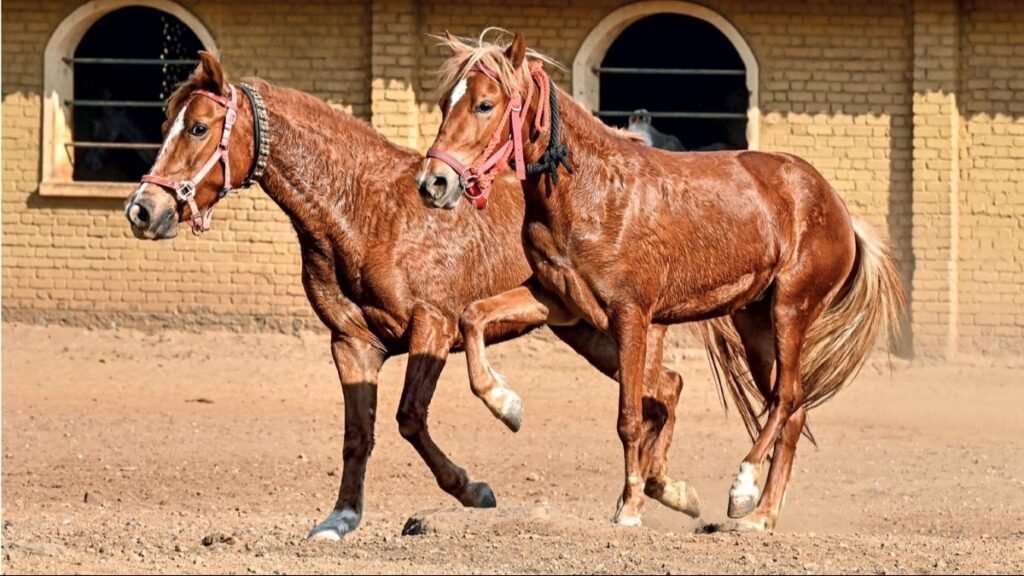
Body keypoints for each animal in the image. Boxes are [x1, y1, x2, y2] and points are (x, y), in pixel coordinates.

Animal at [123, 52, 729, 537]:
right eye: (169, 123)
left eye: (199, 127)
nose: (142, 211)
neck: (367, 211)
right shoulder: (351, 343)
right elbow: (358, 433)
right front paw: (340, 518)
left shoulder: (432, 327)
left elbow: (409, 417)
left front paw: (474, 487)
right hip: (586, 331)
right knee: (666, 389)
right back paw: (674, 492)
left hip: (623, 327)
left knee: (655, 395)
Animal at [417, 31, 905, 528]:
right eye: (445, 102)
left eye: (485, 104)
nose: (434, 183)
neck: (595, 191)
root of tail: (837, 206)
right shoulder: (558, 302)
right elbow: (473, 317)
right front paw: (506, 405)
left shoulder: (632, 316)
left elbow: (630, 417)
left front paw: (631, 507)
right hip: (755, 326)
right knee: (793, 407)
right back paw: (762, 515)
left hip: (791, 309)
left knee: (786, 398)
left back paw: (744, 488)